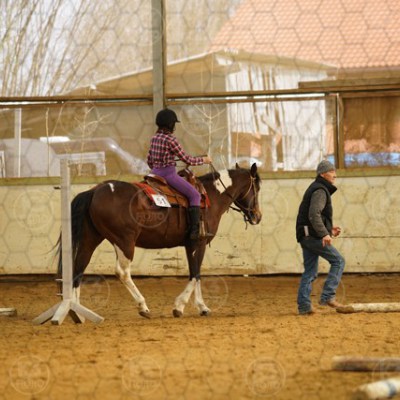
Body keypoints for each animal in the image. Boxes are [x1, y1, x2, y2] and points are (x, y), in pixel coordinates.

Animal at [57, 163, 262, 318]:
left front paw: (200, 307)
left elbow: (194, 273)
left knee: (79, 268)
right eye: (257, 188)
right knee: (122, 272)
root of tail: (95, 190)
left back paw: (78, 312)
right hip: (124, 241)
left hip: (90, 239)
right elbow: (196, 274)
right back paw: (143, 306)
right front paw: (181, 306)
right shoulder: (199, 243)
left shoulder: (190, 244)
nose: (257, 216)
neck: (210, 196)